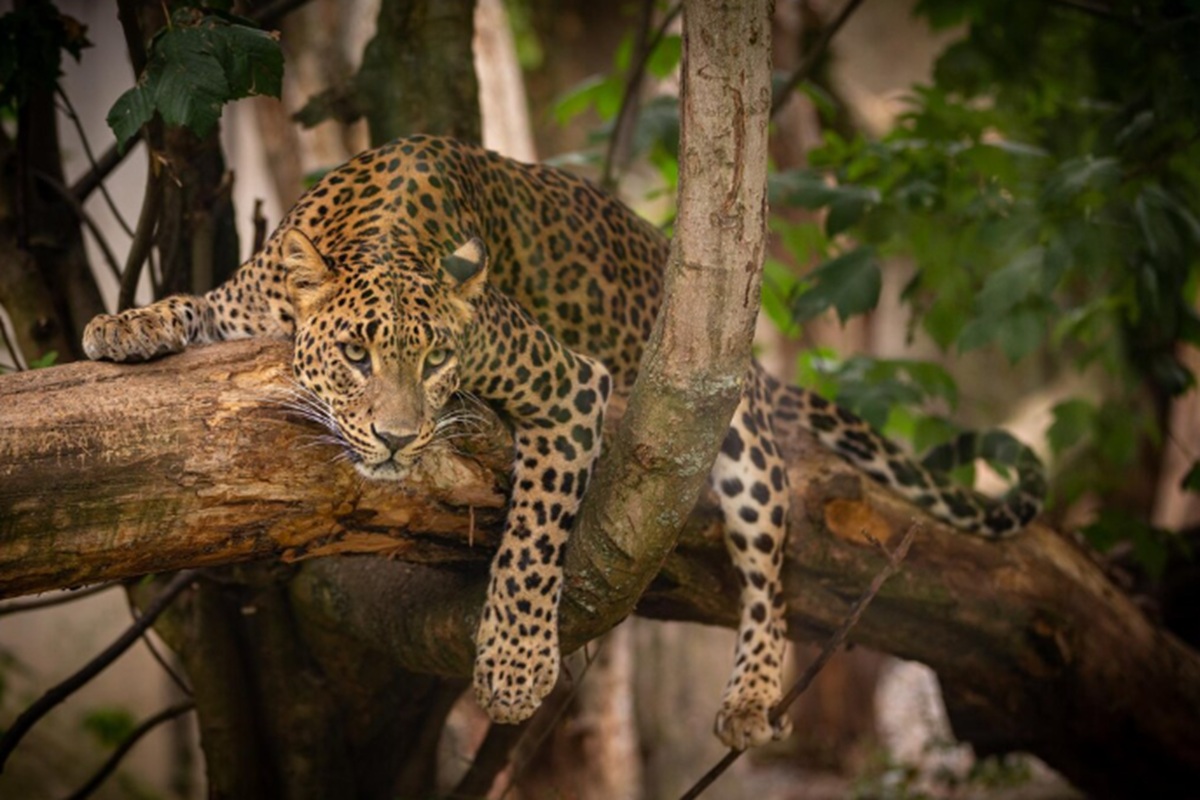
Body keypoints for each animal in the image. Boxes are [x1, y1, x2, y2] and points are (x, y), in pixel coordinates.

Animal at [83, 135, 1043, 750]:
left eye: (437, 360)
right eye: (356, 355)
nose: (396, 440)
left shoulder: (569, 384)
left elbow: (532, 543)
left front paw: (512, 669)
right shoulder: (248, 302)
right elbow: (195, 305)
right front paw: (124, 324)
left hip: (730, 429)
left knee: (772, 562)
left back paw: (752, 692)